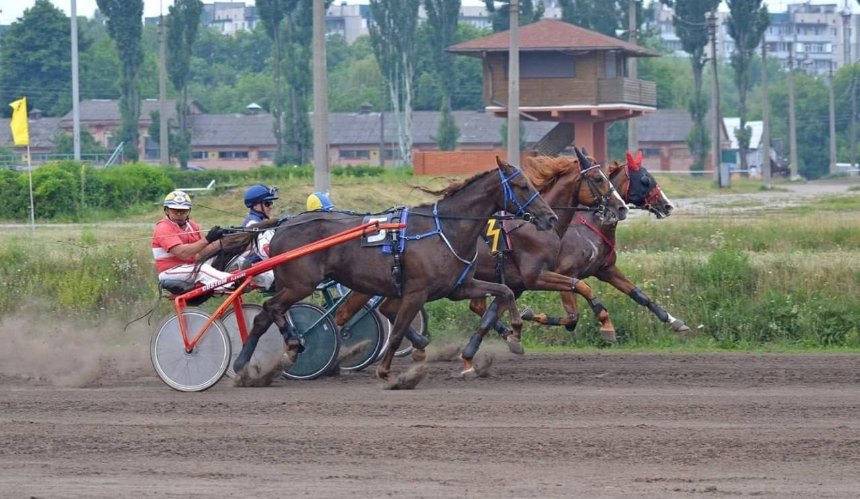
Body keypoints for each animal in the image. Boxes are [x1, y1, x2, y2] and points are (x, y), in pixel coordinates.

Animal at [211, 160, 556, 382]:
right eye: (521, 185)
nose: (550, 217)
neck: (443, 228)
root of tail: (281, 226)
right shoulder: (416, 292)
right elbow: (399, 328)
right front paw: (386, 369)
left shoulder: (458, 286)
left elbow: (505, 290)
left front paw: (515, 333)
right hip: (300, 284)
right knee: (271, 309)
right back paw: (290, 346)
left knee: (265, 316)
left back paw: (248, 363)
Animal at [516, 150, 692, 342]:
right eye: (645, 180)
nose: (668, 206)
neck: (589, 229)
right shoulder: (566, 274)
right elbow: (573, 317)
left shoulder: (605, 269)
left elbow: (639, 295)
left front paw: (673, 321)